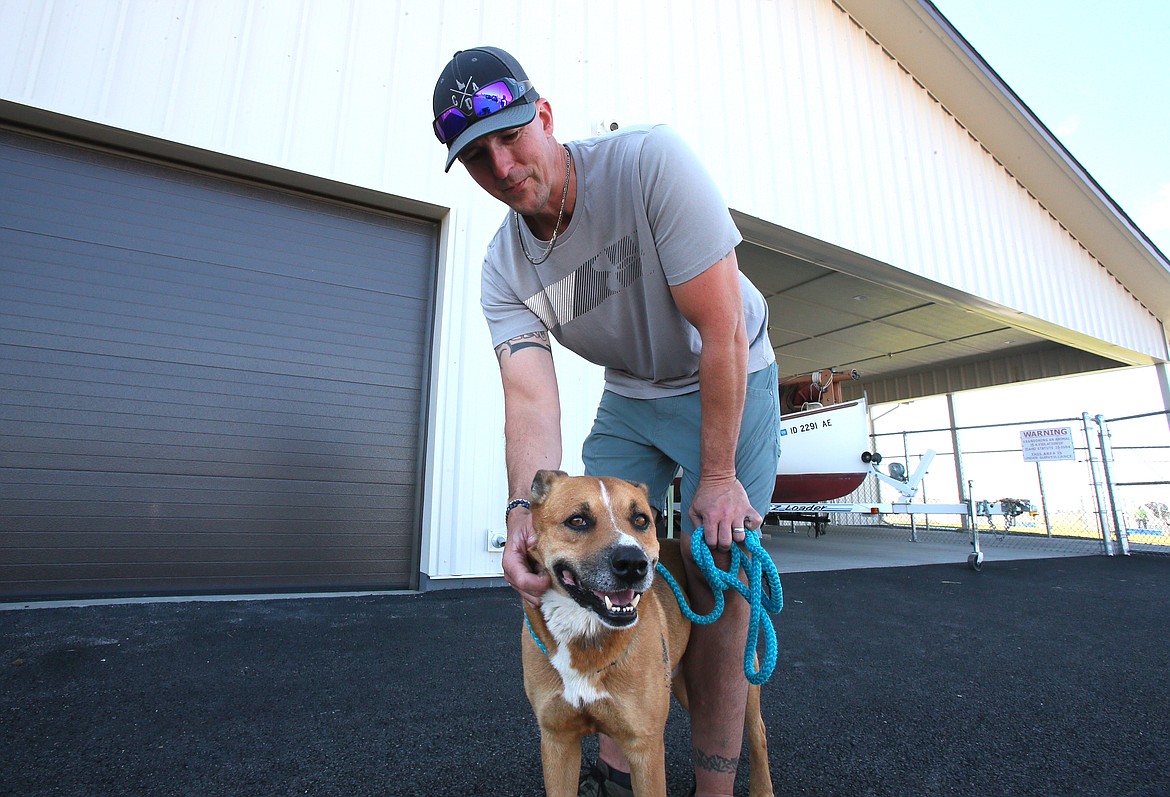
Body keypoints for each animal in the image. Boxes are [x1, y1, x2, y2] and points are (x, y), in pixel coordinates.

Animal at [521, 470, 776, 791]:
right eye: (577, 520)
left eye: (641, 520)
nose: (633, 563)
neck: (587, 638)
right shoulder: (557, 742)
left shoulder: (646, 748)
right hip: (683, 684)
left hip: (743, 681)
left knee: (757, 734)